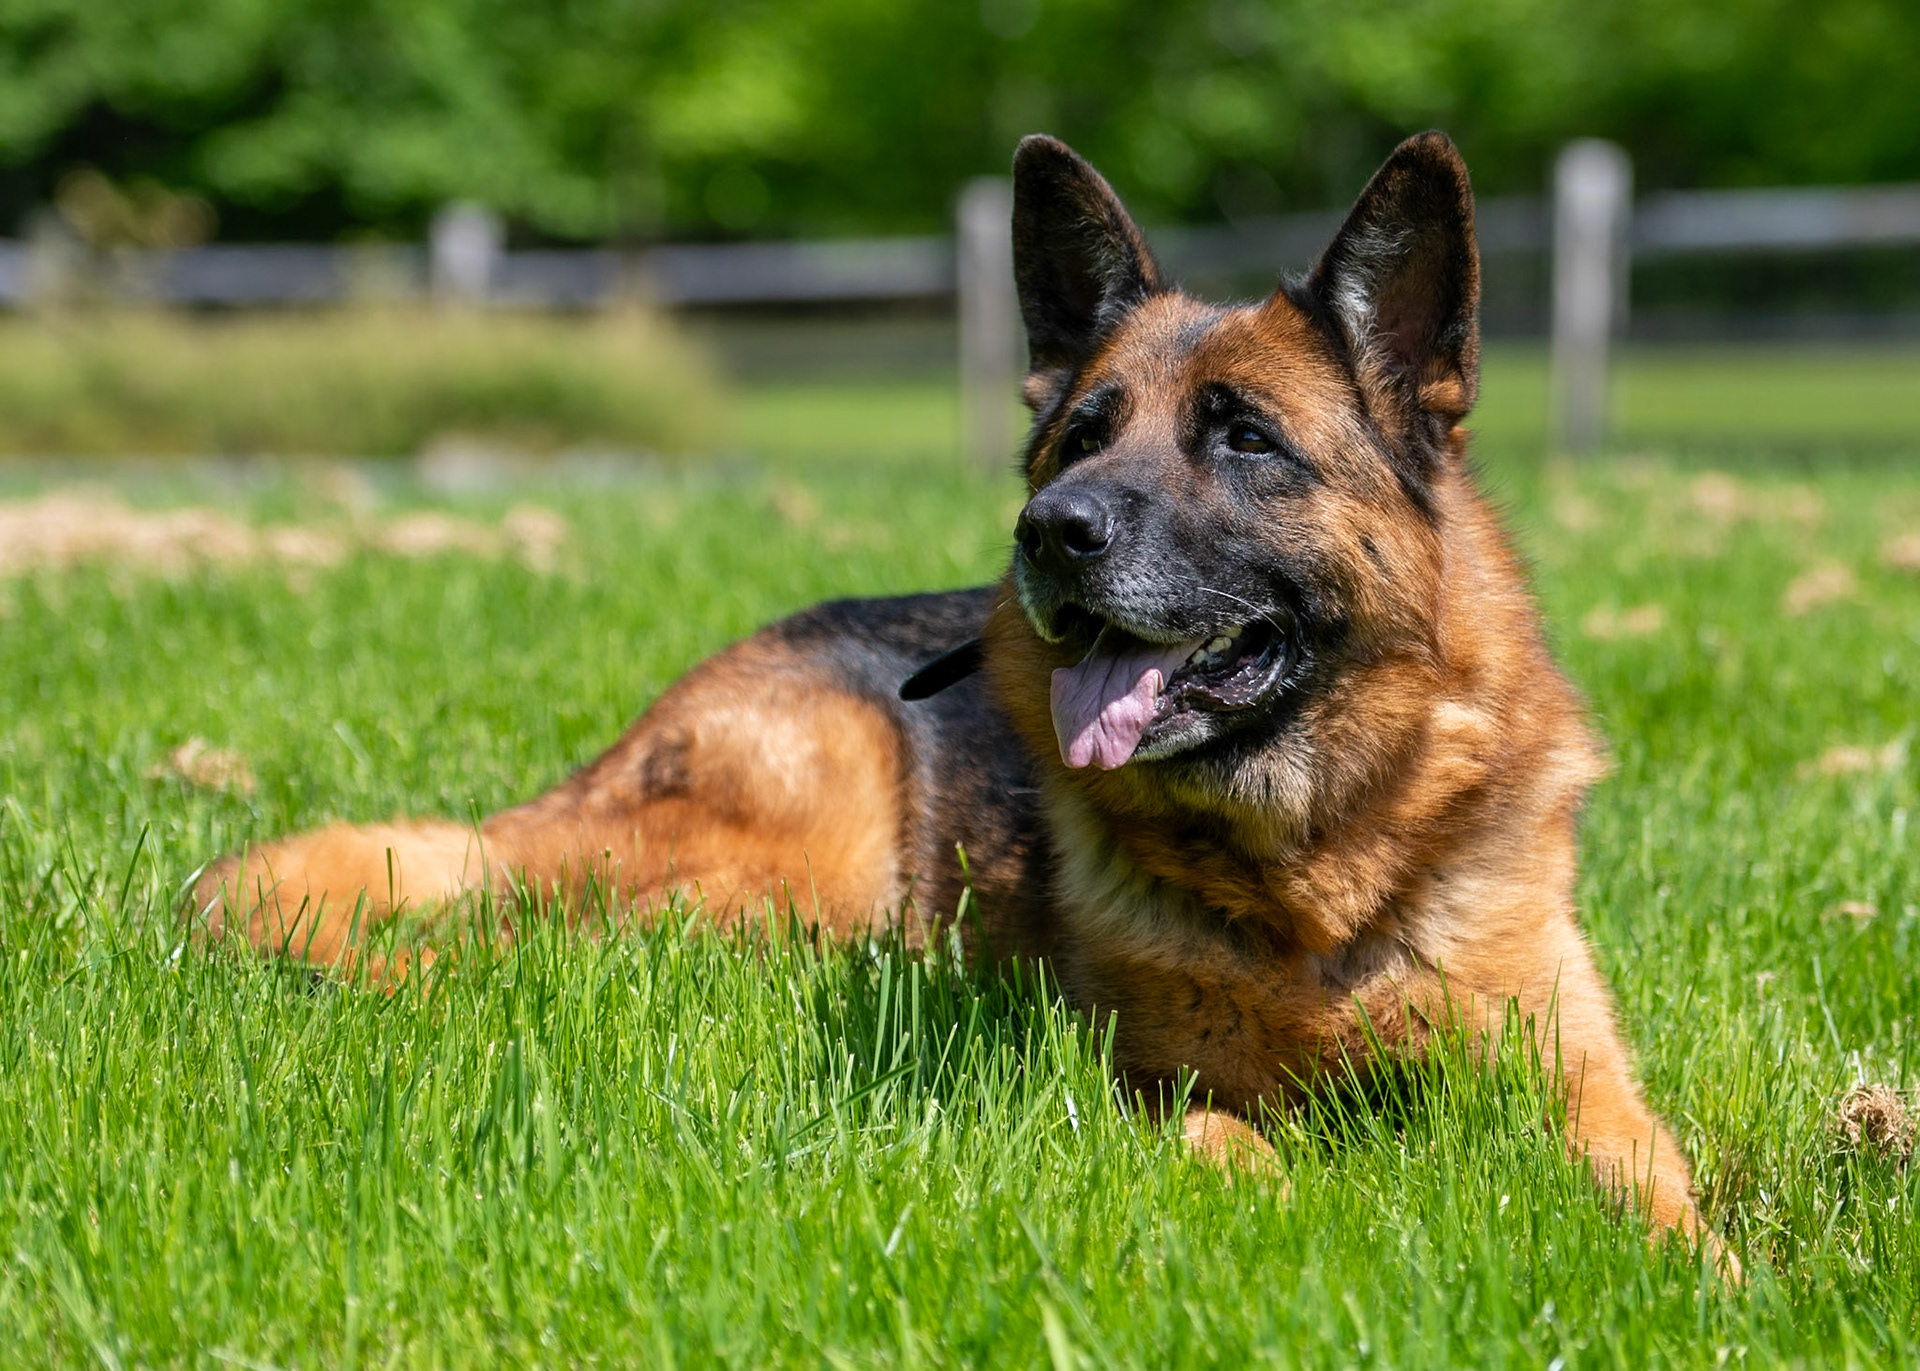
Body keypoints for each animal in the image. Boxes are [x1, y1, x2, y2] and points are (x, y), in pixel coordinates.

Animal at [196, 131, 1728, 1262]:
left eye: (1245, 438)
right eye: (1081, 436)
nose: (1049, 531)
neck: (1324, 875)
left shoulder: (1580, 1073)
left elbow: (1654, 1178)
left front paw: (1711, 1277)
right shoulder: (1148, 1084)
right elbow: (1245, 1146)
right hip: (783, 887)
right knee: (530, 938)